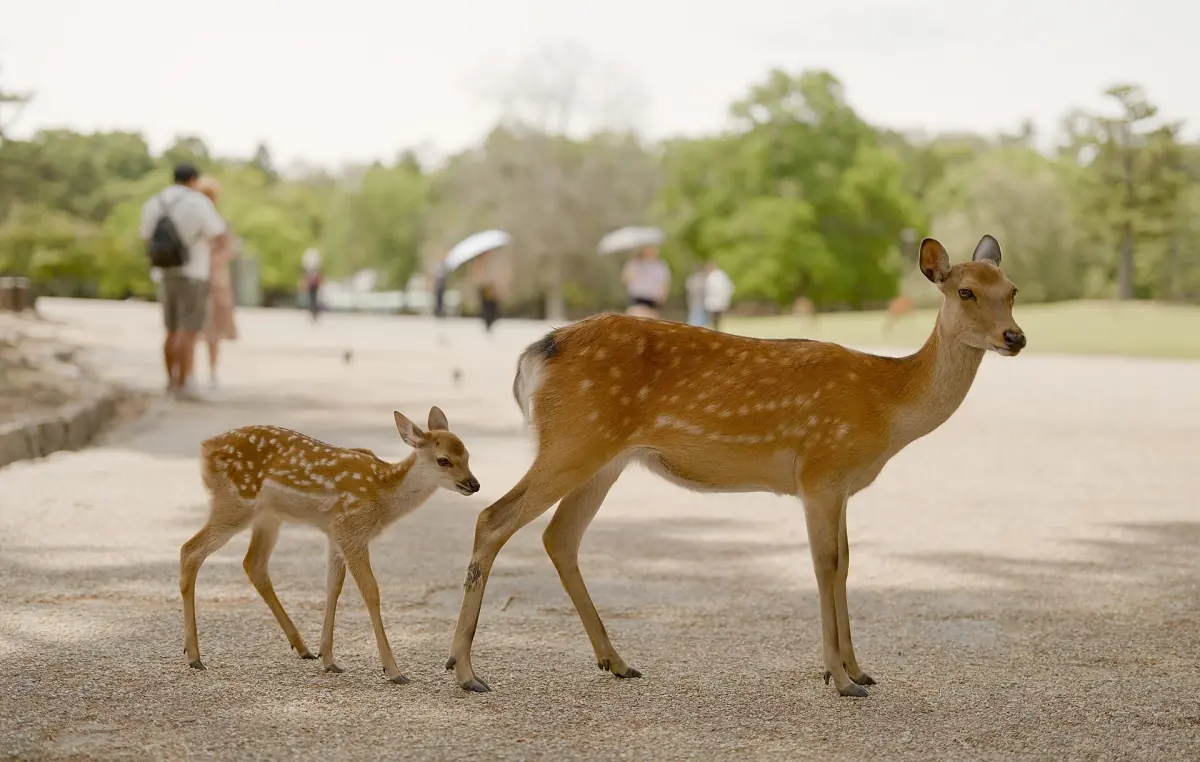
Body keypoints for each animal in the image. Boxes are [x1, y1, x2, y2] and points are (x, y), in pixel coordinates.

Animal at [180, 407, 480, 684]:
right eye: (443, 460)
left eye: (467, 455)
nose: (474, 484)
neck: (383, 494)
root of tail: (205, 447)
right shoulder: (351, 529)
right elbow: (371, 591)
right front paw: (394, 671)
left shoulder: (335, 533)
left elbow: (333, 585)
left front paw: (329, 659)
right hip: (235, 503)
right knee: (190, 550)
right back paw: (194, 656)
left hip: (268, 516)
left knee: (253, 562)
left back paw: (302, 647)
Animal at [445, 235, 1025, 696]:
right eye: (965, 291)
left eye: (1012, 290)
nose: (1015, 337)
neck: (886, 405)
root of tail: (535, 355)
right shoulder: (820, 471)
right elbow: (825, 564)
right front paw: (839, 679)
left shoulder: (840, 486)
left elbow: (846, 563)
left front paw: (858, 670)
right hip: (573, 440)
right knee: (494, 517)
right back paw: (465, 671)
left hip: (605, 457)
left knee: (560, 536)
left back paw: (616, 661)